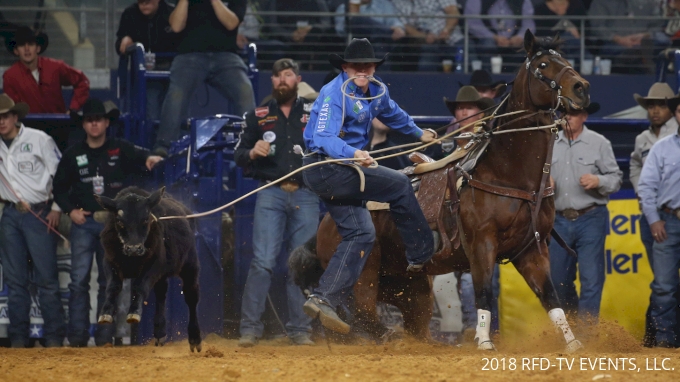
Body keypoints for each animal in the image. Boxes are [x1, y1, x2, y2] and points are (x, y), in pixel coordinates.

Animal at [290, 30, 592, 352]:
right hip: (363, 278)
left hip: (411, 291)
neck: (508, 175)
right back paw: (377, 331)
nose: (582, 88)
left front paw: (573, 344)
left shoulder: (532, 249)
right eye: (543, 65)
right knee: (360, 313)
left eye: (567, 60)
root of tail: (324, 225)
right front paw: (484, 341)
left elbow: (550, 298)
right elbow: (484, 293)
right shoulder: (481, 245)